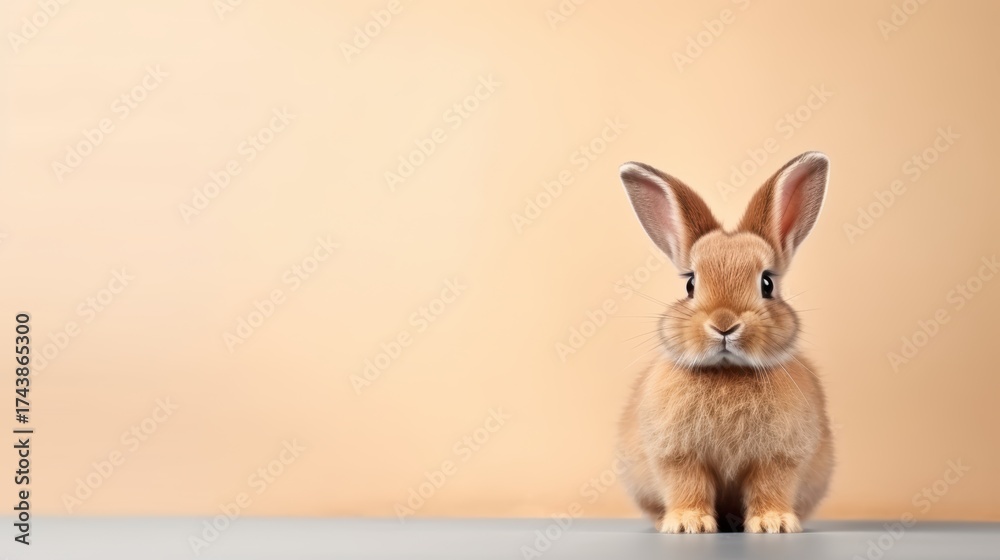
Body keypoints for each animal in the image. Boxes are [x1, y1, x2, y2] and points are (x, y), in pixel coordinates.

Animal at [615, 151, 834, 534]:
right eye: (690, 284)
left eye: (767, 284)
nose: (724, 325)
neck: (728, 372)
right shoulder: (677, 456)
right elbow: (687, 486)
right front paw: (687, 524)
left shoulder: (779, 458)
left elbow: (770, 487)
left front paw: (774, 523)